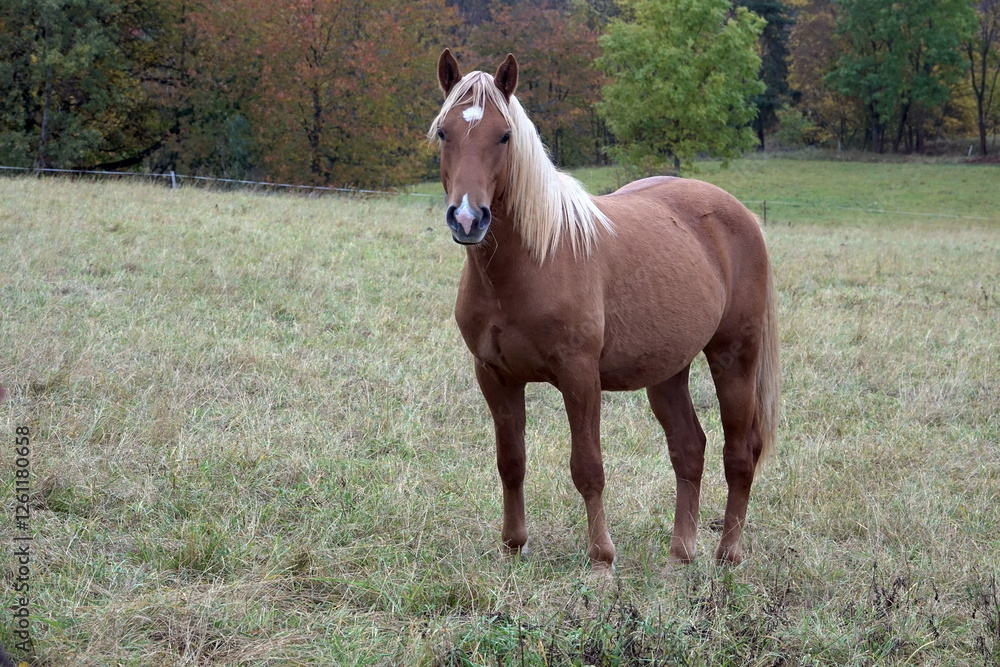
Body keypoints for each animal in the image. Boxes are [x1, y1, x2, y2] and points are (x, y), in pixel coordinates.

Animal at [428, 49, 779, 570]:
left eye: (504, 135)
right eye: (444, 132)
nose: (468, 218)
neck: (536, 260)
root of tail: (739, 214)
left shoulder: (579, 376)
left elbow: (588, 467)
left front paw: (601, 560)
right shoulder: (494, 375)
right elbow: (511, 462)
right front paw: (513, 546)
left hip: (734, 356)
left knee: (740, 452)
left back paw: (728, 553)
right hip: (667, 370)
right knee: (689, 448)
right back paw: (680, 553)